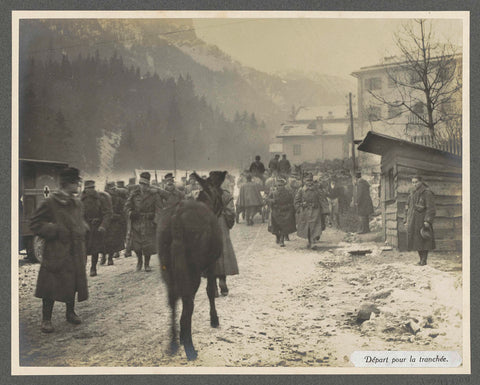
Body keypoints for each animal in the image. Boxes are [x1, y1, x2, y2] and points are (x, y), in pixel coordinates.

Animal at [157, 170, 226, 358]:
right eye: (220, 192)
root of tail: (176, 219)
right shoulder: (211, 263)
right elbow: (210, 291)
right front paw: (214, 319)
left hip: (167, 268)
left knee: (173, 300)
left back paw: (174, 342)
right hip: (192, 268)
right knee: (188, 301)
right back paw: (188, 346)